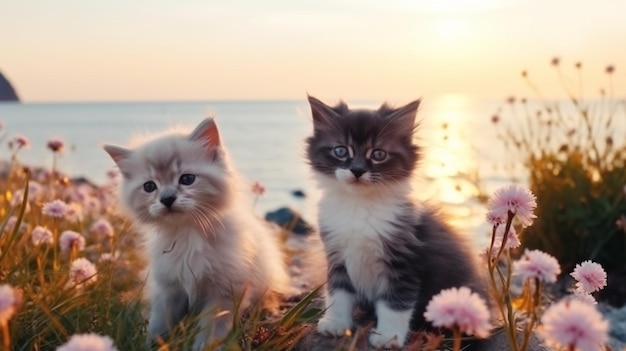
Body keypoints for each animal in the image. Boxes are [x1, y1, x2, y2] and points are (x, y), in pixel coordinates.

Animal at [103, 117, 288, 350]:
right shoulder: (168, 290)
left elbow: (210, 333)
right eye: (149, 186)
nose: (167, 198)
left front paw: (204, 347)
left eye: (187, 179)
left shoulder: (223, 292)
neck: (188, 233)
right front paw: (153, 345)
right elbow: (159, 325)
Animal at [304, 95, 486, 350]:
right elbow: (338, 291)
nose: (357, 170)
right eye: (341, 151)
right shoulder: (335, 253)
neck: (360, 205)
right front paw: (335, 322)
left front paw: (387, 336)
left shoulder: (404, 260)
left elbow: (395, 303)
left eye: (378, 154)